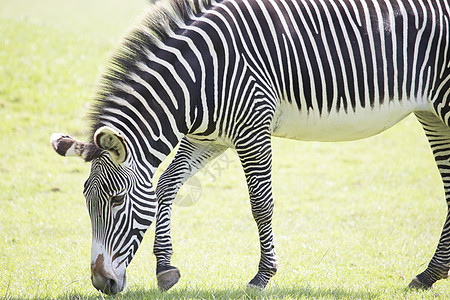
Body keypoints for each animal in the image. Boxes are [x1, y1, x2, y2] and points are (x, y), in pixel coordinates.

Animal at [50, 0, 450, 294]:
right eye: (86, 202)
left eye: (117, 201)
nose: (101, 284)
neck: (201, 77)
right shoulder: (209, 138)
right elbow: (167, 185)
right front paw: (165, 268)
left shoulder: (253, 129)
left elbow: (261, 204)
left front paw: (262, 276)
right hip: (432, 113)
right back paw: (429, 274)